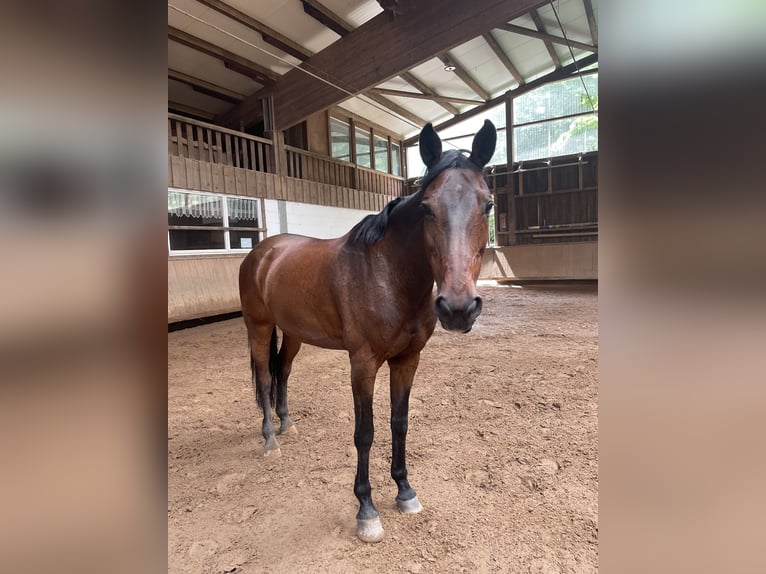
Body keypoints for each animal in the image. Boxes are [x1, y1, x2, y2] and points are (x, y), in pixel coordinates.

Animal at [243, 119, 500, 544]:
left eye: (488, 204)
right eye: (426, 207)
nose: (458, 308)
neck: (386, 274)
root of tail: (263, 252)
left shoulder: (407, 360)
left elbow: (400, 423)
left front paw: (405, 491)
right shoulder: (362, 364)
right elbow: (365, 432)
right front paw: (367, 510)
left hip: (293, 333)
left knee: (284, 371)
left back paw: (287, 423)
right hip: (259, 327)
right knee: (264, 376)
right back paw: (269, 439)